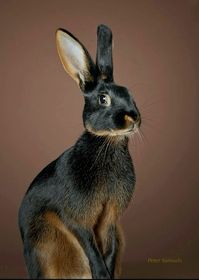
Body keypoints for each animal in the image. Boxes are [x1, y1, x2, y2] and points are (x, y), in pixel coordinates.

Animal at [17, 24, 141, 280]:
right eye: (103, 99)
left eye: (130, 93)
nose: (133, 118)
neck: (107, 142)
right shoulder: (76, 218)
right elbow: (90, 246)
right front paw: (102, 274)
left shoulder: (110, 219)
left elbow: (109, 245)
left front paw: (108, 272)